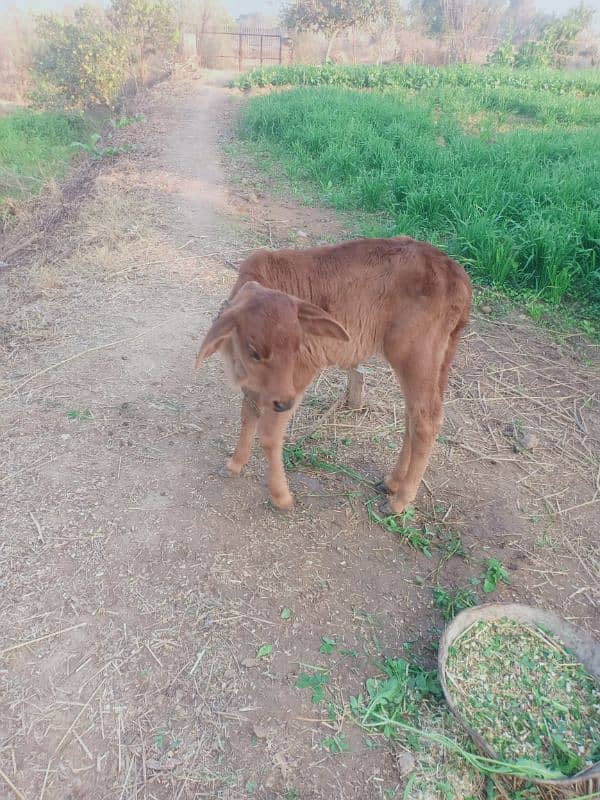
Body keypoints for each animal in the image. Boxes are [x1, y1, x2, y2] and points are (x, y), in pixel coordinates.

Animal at [199, 236, 472, 512]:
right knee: (413, 416)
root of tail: (455, 272)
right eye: (254, 352)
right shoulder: (259, 389)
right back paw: (392, 482)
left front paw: (281, 496)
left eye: (297, 345)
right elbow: (248, 416)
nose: (285, 402)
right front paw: (234, 464)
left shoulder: (299, 375)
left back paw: (399, 502)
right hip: (438, 359)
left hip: (414, 356)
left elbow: (269, 434)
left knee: (427, 420)